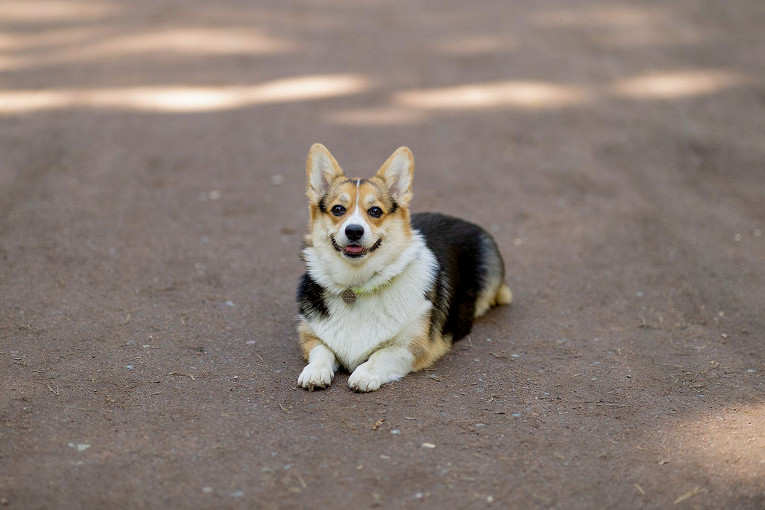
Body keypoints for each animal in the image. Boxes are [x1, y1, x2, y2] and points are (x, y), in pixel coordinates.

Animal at [296, 145, 510, 392]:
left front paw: (364, 375)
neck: (357, 284)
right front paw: (315, 372)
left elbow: (381, 355)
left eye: (375, 211)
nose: (354, 231)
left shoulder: (414, 347)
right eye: (338, 209)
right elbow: (321, 351)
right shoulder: (310, 336)